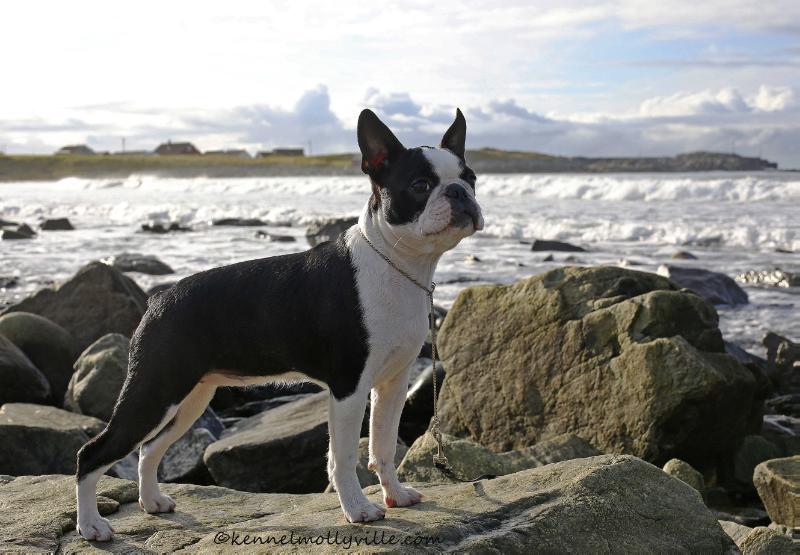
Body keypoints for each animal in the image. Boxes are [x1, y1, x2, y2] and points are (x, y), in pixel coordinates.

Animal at [75, 106, 484, 540]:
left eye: (471, 178)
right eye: (421, 185)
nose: (459, 192)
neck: (399, 263)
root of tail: (156, 300)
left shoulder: (392, 383)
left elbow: (383, 446)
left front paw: (396, 495)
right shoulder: (349, 387)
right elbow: (342, 457)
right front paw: (357, 510)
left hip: (189, 397)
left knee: (149, 447)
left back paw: (151, 501)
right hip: (154, 390)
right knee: (94, 452)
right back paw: (91, 525)